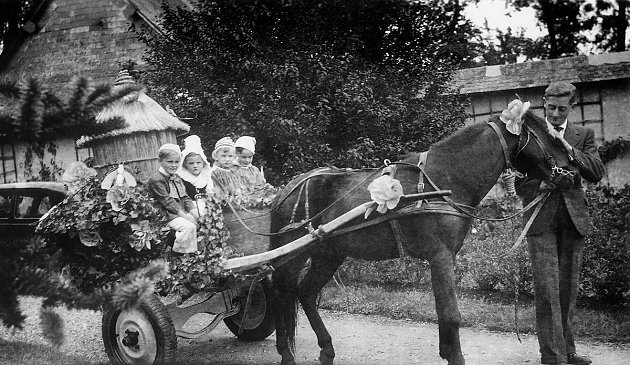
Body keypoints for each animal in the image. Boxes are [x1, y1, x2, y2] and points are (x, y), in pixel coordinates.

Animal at [270, 109, 576, 364]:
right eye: (548, 136)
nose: (572, 173)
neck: (443, 180)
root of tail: (289, 187)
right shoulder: (440, 255)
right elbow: (451, 312)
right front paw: (456, 357)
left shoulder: (443, 257)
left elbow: (443, 309)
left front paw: (447, 351)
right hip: (293, 254)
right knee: (280, 291)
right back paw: (285, 352)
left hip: (328, 253)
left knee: (305, 292)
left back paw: (326, 349)